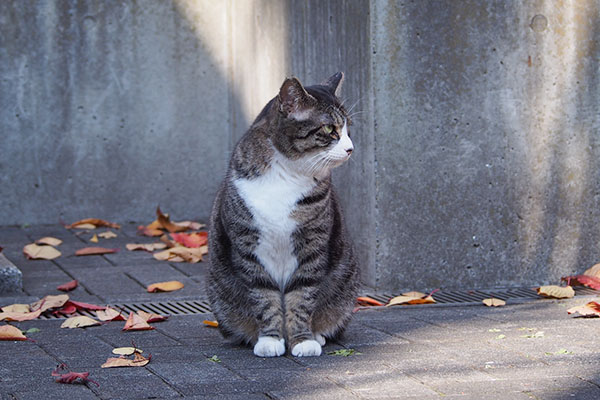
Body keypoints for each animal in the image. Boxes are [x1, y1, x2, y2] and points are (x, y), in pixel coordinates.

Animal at [207, 73, 356, 358]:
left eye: (348, 129)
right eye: (329, 129)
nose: (350, 148)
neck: (286, 173)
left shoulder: (312, 245)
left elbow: (303, 294)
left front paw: (303, 341)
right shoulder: (248, 246)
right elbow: (264, 296)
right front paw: (269, 340)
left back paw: (317, 334)